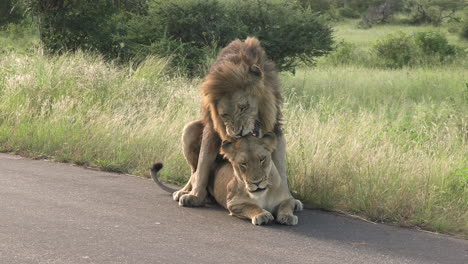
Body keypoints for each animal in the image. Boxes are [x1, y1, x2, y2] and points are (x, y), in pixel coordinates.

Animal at [152, 133, 302, 226]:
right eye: (243, 164)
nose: (257, 182)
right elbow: (251, 206)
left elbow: (286, 205)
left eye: (262, 159)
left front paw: (288, 217)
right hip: (199, 172)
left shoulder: (285, 198)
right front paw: (262, 215)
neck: (263, 194)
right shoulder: (234, 204)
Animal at [175, 37, 288, 207]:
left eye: (243, 107)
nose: (237, 133)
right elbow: (202, 164)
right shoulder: (212, 127)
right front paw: (195, 195)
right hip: (190, 129)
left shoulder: (275, 127)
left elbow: (280, 166)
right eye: (224, 115)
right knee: (194, 170)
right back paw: (187, 192)